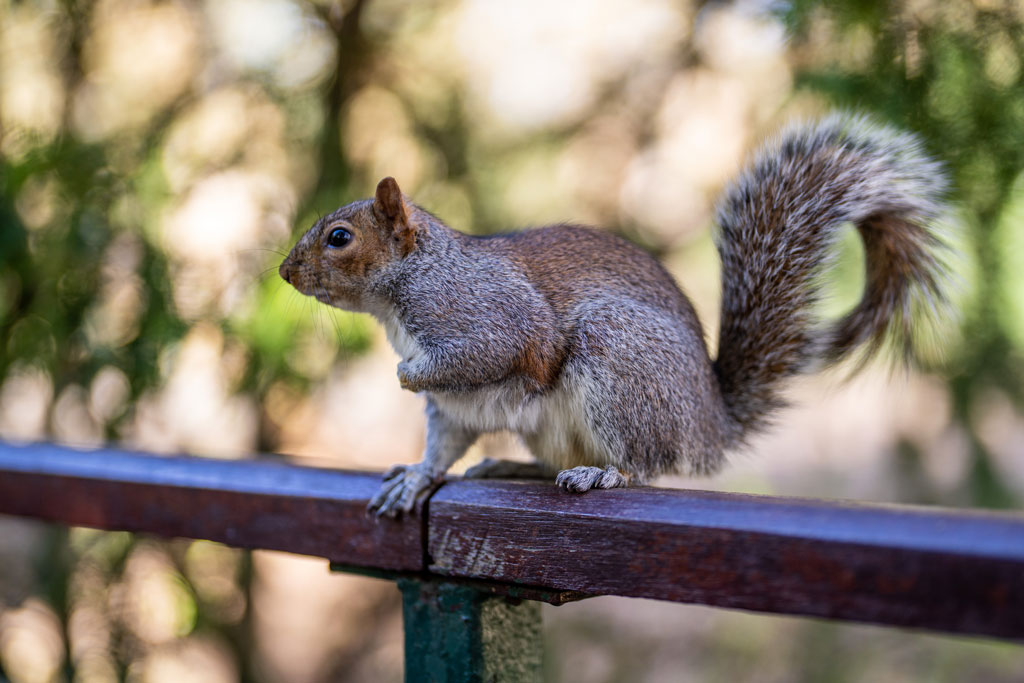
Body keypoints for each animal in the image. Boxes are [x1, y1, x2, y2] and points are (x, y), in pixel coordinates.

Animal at [276, 113, 946, 518]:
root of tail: (710, 425)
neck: (403, 291)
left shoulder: (489, 314)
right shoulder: (453, 410)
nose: (284, 273)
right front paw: (416, 477)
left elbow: (497, 350)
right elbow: (442, 445)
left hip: (620, 357)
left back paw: (603, 475)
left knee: (643, 464)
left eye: (339, 238)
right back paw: (514, 465)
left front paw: (407, 375)